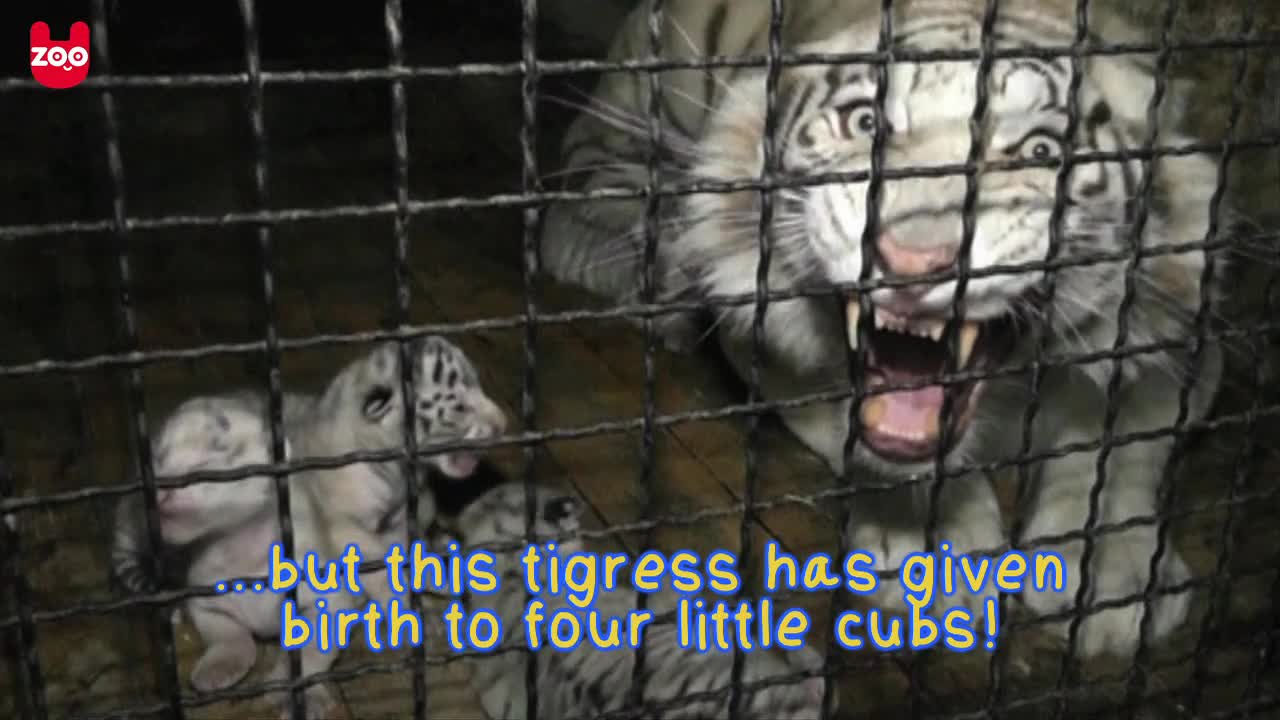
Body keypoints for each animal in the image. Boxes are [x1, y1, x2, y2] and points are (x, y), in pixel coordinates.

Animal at [537, 0, 1218, 661]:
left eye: (1040, 153)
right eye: (866, 124)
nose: (912, 259)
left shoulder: (1184, 338)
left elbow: (1122, 454)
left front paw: (1113, 571)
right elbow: (874, 446)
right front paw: (929, 548)